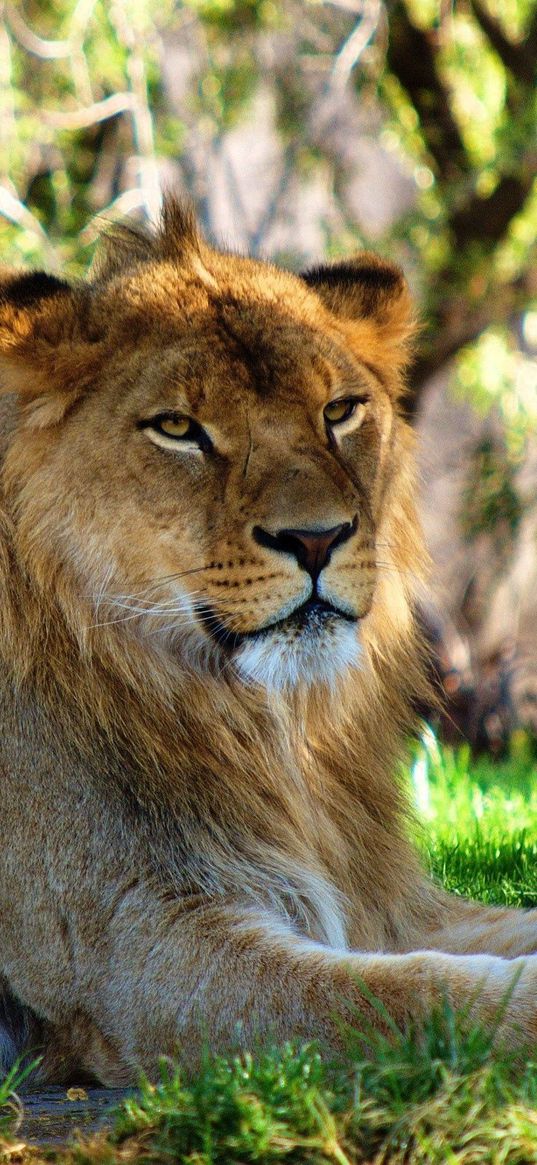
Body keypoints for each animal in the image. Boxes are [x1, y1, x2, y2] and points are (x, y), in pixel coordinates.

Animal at [0, 198, 535, 1081]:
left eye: (338, 411)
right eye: (178, 427)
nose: (316, 538)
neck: (264, 728)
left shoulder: (383, 899)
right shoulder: (134, 952)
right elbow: (397, 995)